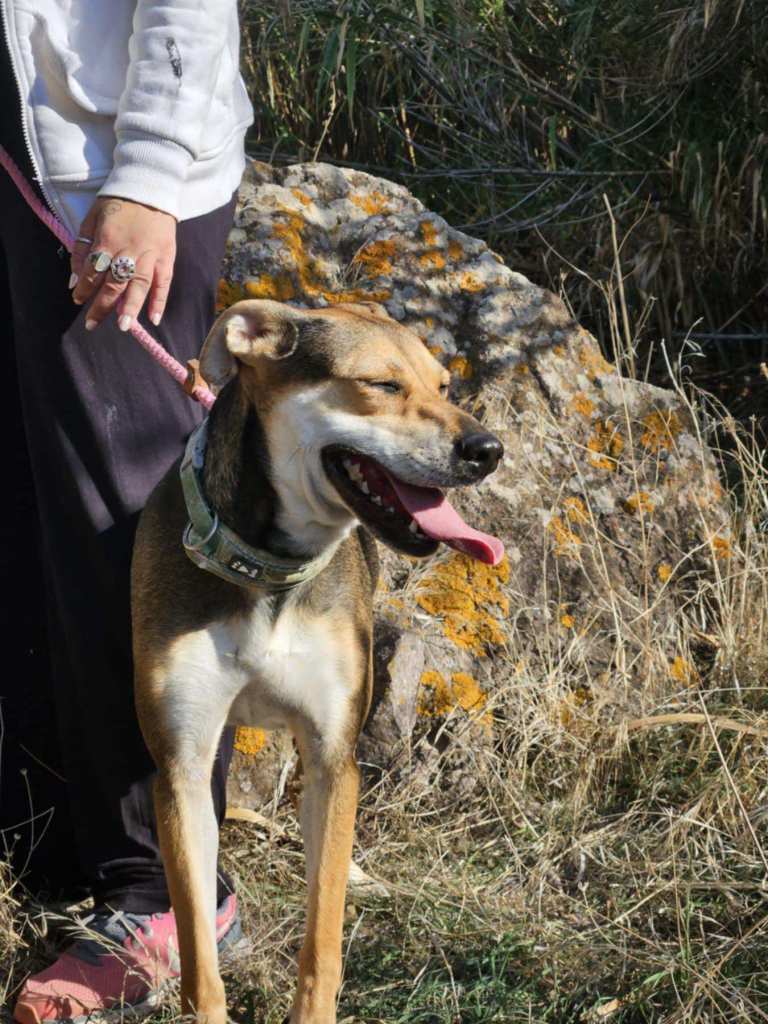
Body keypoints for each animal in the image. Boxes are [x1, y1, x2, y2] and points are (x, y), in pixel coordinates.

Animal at [131, 299, 504, 1024]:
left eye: (445, 385)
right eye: (382, 385)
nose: (487, 450)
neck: (266, 568)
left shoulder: (333, 754)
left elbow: (322, 935)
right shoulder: (182, 765)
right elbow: (199, 956)